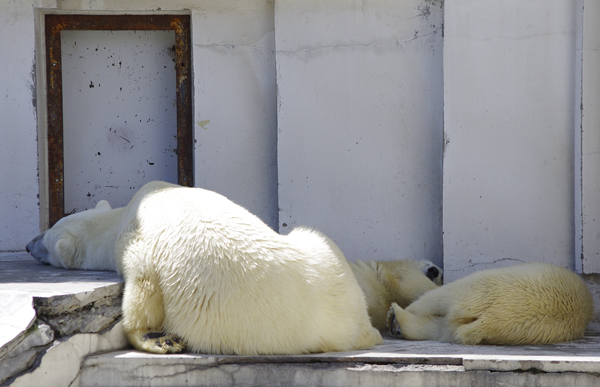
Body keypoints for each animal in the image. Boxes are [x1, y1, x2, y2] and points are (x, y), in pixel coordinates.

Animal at [25, 180, 440, 356]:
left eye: (47, 235)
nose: (29, 244)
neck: (129, 210)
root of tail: (358, 328)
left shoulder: (138, 244)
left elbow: (144, 290)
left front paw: (157, 338)